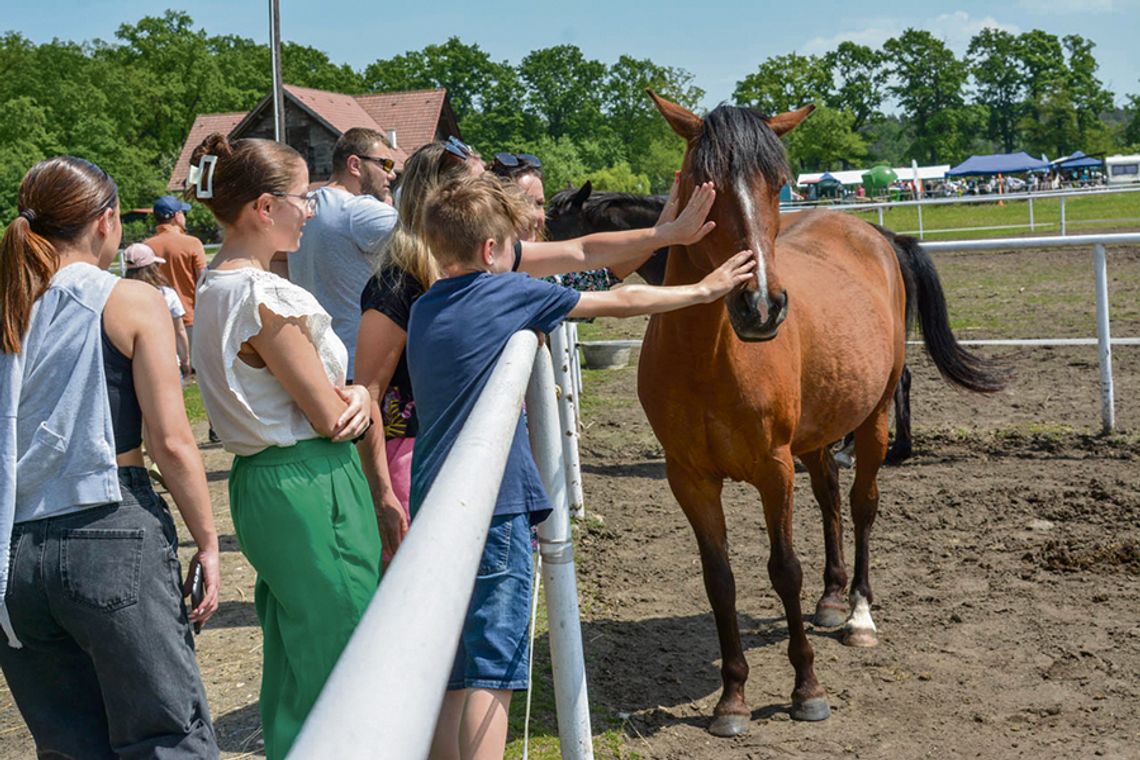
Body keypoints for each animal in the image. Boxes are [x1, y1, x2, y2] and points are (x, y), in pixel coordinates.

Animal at [638, 90, 1012, 738]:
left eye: (779, 182)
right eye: (704, 182)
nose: (761, 306)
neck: (706, 357)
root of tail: (872, 232)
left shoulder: (773, 469)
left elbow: (784, 570)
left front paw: (806, 690)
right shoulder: (689, 478)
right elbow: (720, 579)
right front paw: (732, 697)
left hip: (874, 417)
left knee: (862, 505)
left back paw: (858, 611)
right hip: (818, 434)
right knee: (831, 500)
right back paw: (833, 597)